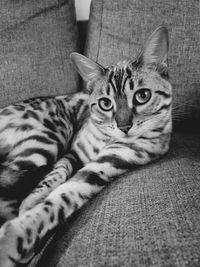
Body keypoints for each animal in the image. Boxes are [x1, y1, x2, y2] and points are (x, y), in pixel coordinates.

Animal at [0, 26, 172, 266]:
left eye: (142, 95)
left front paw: (17, 236)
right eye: (105, 103)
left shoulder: (104, 166)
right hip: (50, 137)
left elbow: (62, 198)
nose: (124, 126)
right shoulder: (73, 152)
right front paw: (33, 199)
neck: (106, 139)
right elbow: (55, 175)